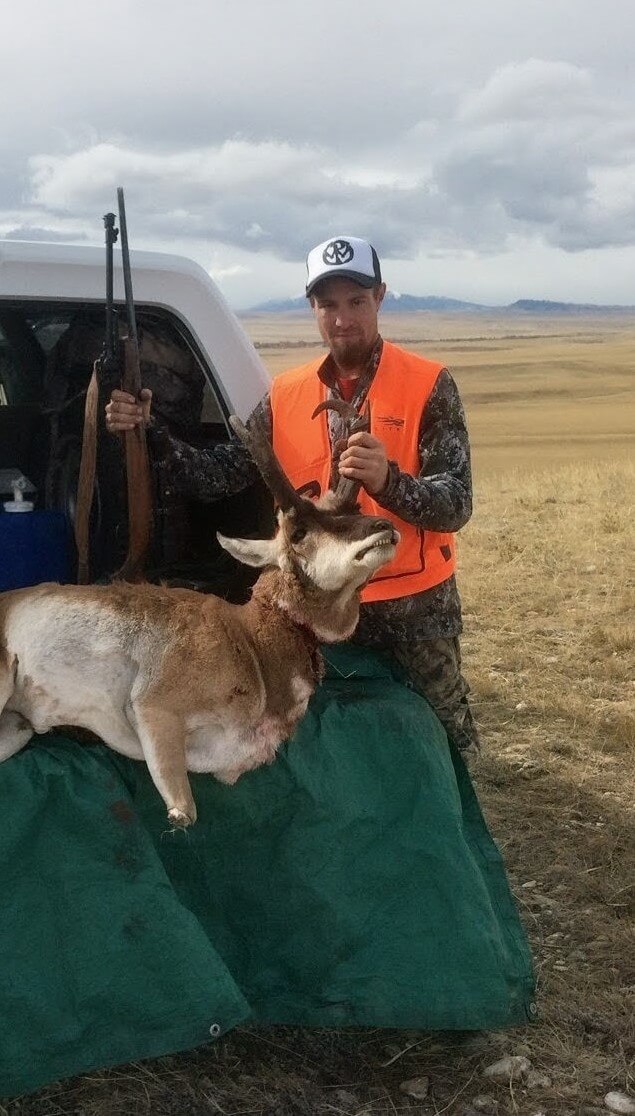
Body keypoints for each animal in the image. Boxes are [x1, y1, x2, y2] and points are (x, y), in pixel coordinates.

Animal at [0, 412, 398, 827]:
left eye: (352, 512)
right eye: (299, 532)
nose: (383, 527)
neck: (250, 644)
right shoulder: (154, 709)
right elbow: (184, 814)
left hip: (15, 729)